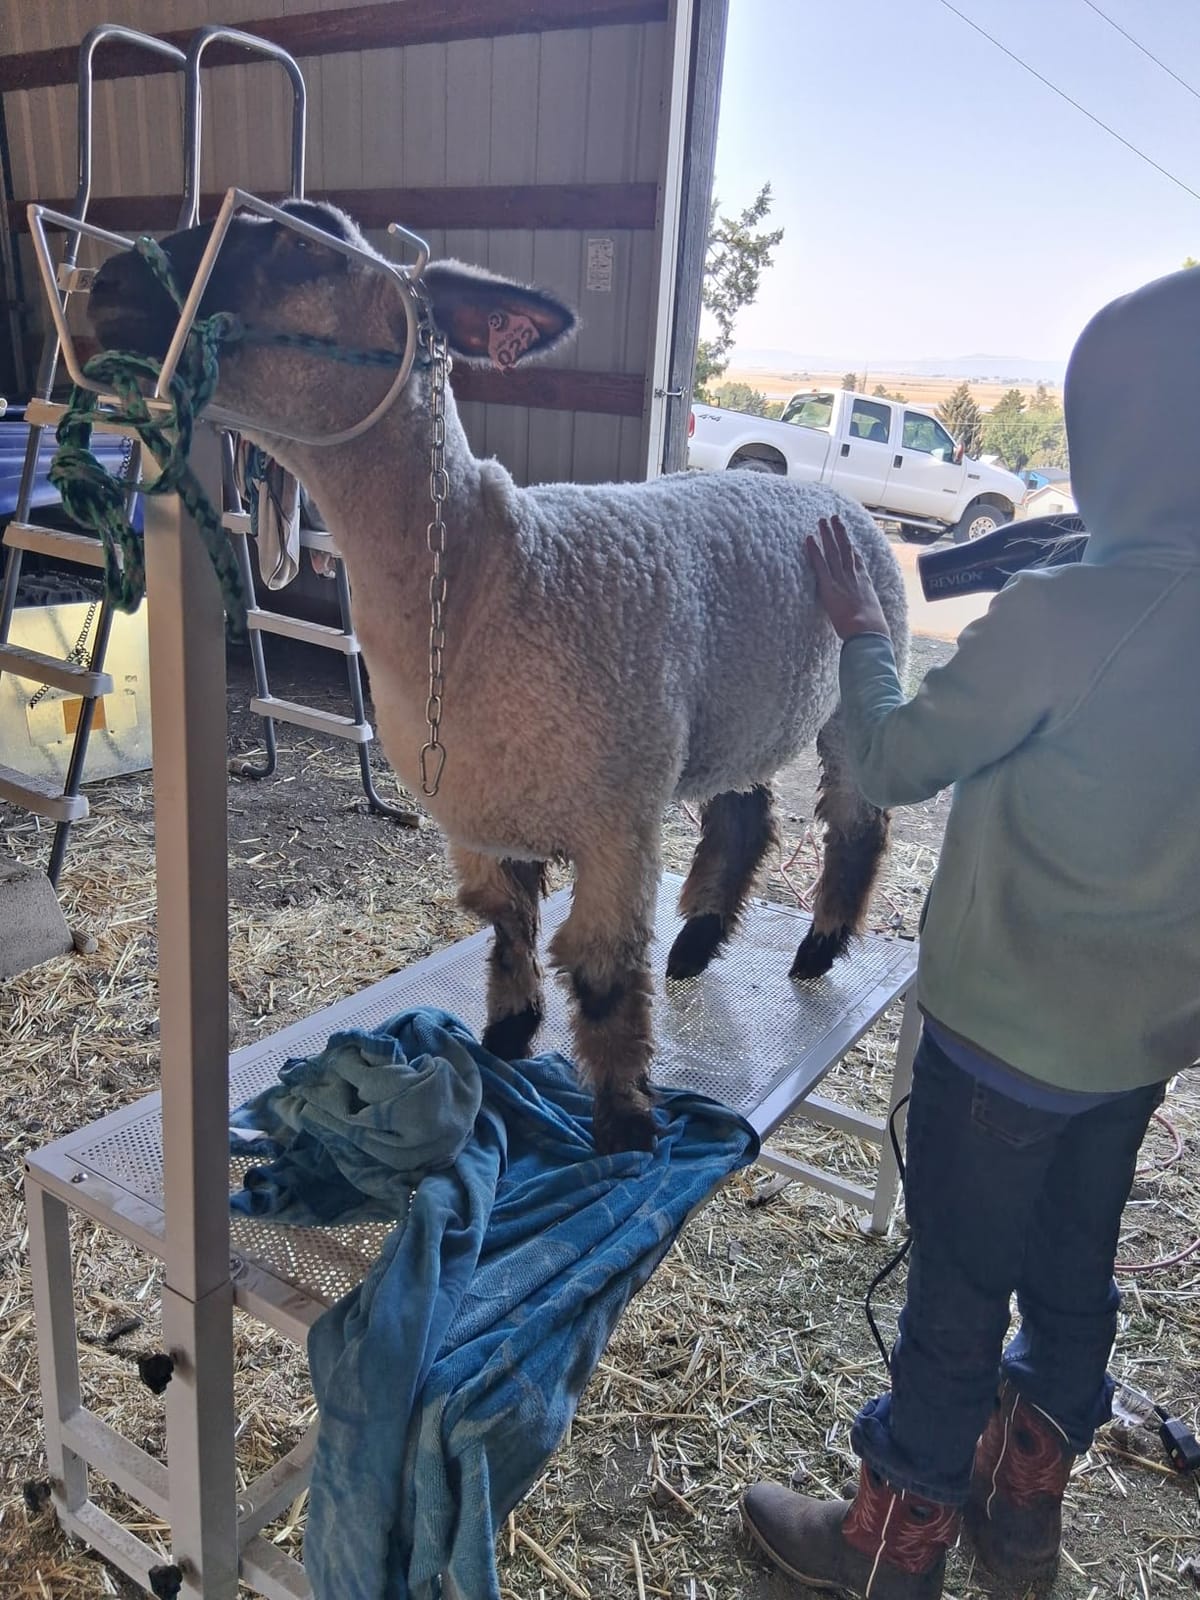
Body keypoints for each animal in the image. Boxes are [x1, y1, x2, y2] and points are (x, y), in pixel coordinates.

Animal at [89, 200, 910, 1154]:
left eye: (302, 244)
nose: (105, 282)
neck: (494, 577)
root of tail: (835, 497)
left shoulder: (617, 818)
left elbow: (601, 972)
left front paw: (624, 1123)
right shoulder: (478, 807)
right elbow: (505, 922)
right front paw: (509, 1034)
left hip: (855, 675)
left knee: (856, 820)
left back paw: (815, 948)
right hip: (730, 711)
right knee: (744, 813)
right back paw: (696, 946)